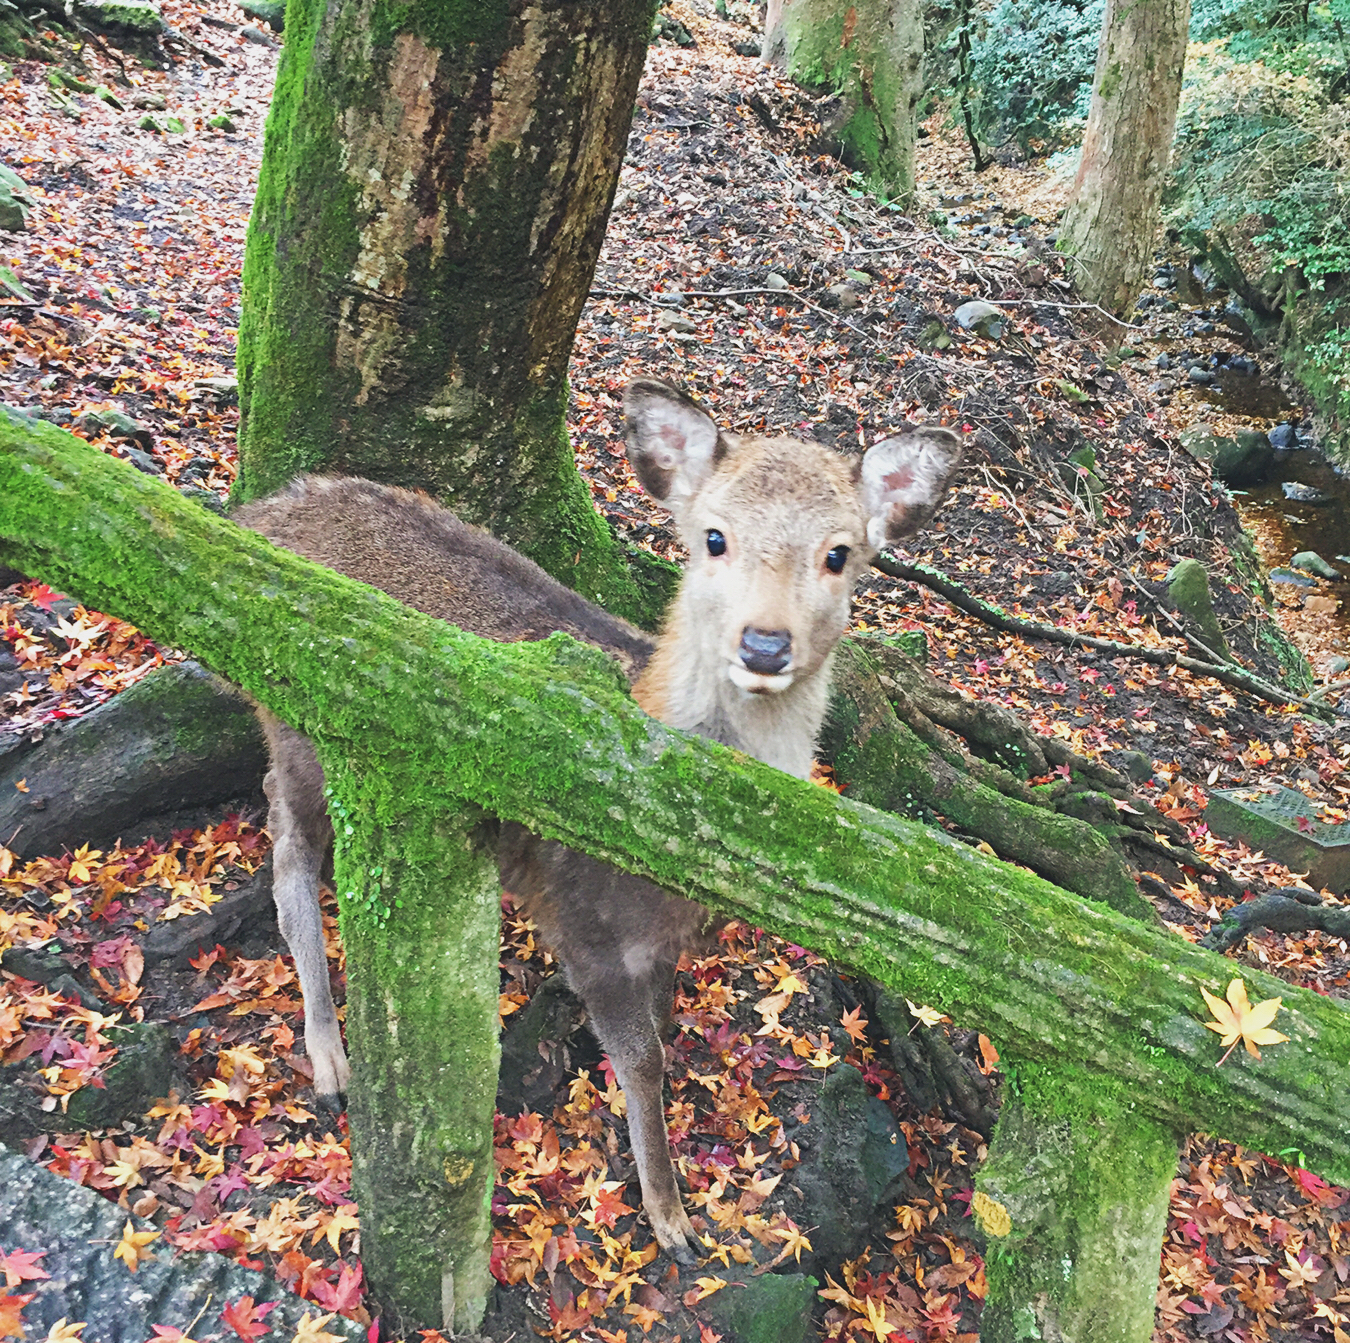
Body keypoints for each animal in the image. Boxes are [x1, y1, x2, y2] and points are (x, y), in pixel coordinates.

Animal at [237, 377, 966, 1257]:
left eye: (840, 552)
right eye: (713, 536)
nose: (764, 645)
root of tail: (259, 512)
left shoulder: (664, 941)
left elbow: (666, 1020)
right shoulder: (580, 920)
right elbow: (643, 1057)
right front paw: (671, 1217)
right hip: (306, 724)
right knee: (289, 850)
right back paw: (330, 1060)